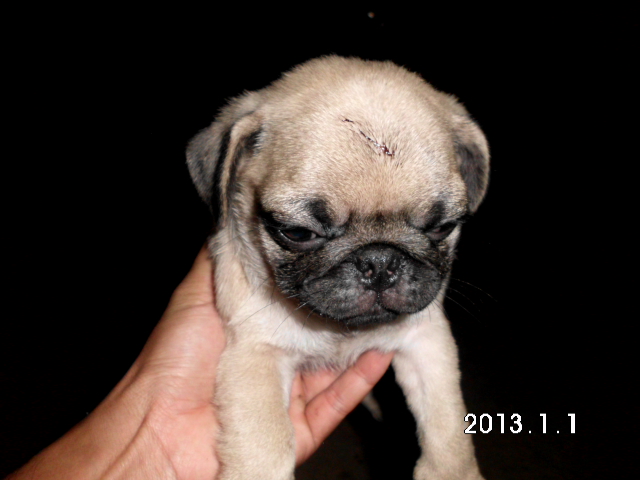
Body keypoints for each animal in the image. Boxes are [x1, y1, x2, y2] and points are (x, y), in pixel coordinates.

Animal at [187, 56, 489, 480]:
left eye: (442, 228)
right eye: (297, 233)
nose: (380, 261)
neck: (340, 333)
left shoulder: (427, 341)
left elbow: (446, 426)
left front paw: (451, 471)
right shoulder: (255, 354)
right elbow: (265, 445)